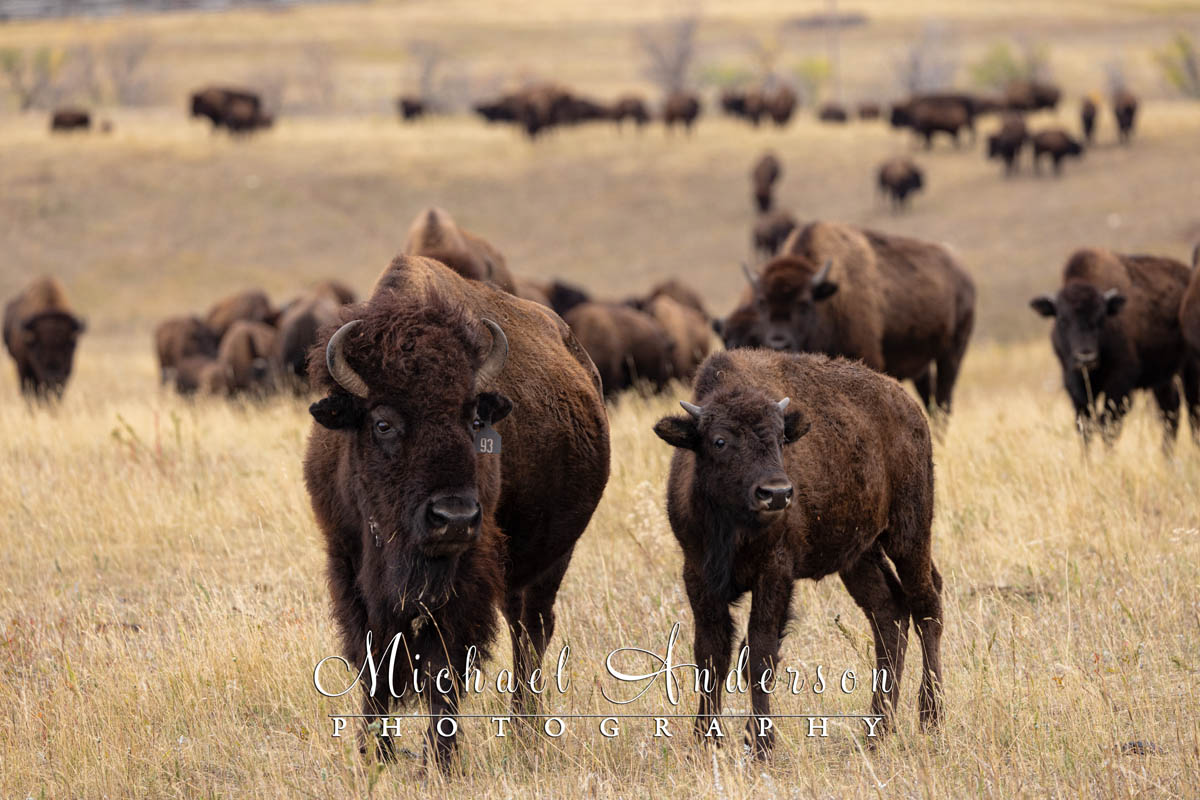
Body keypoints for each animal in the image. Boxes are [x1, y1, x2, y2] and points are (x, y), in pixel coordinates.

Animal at [303, 254, 609, 768]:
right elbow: (375, 657)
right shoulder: (349, 565)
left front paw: (439, 761)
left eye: (474, 419)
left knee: (532, 632)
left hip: (554, 556)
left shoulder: (466, 576)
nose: (454, 518)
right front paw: (374, 752)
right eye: (382, 423)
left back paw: (525, 732)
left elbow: (443, 664)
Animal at [653, 348, 943, 758]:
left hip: (908, 533)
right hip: (860, 556)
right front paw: (705, 741)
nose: (776, 493)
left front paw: (760, 745)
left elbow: (759, 653)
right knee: (890, 613)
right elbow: (711, 654)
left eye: (780, 439)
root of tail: (911, 407)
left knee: (926, 606)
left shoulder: (775, 572)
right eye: (719, 441)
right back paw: (878, 728)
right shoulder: (698, 573)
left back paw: (930, 716)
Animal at [723, 221, 976, 418]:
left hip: (951, 354)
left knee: (943, 402)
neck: (827, 299)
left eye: (804, 304)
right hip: (922, 365)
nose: (778, 343)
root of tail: (963, 274)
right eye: (762, 303)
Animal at [1031, 248, 1198, 449]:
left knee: (1191, 413)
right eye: (1062, 319)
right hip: (1164, 380)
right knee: (1171, 414)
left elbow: (1108, 425)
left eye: (1101, 317)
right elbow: (1085, 426)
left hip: (1189, 372)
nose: (1086, 357)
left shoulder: (1120, 383)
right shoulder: (1075, 384)